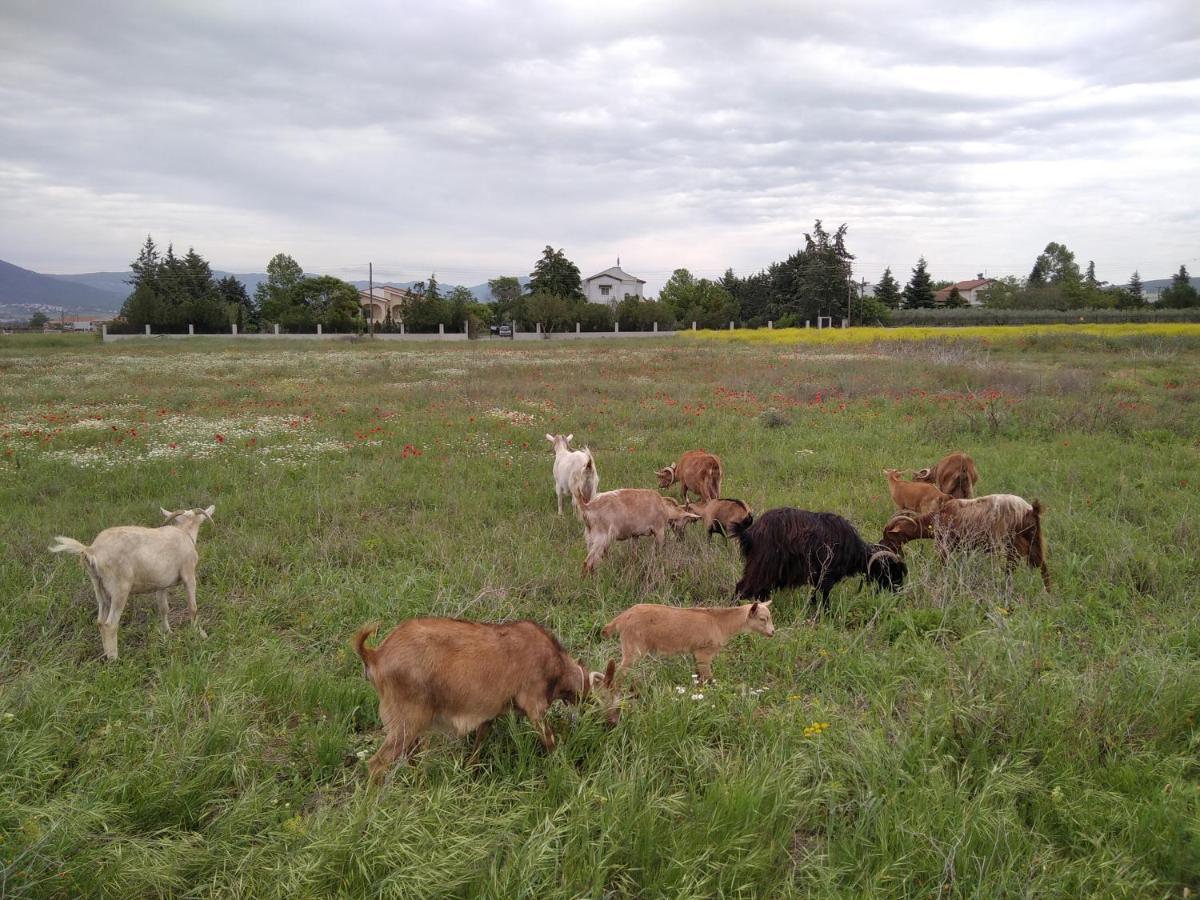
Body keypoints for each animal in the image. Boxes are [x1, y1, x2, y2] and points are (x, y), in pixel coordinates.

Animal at [50, 508, 217, 662]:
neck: (185, 533)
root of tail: (91, 550)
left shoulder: (161, 585)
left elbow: (164, 609)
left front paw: (167, 633)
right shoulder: (189, 574)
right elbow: (193, 608)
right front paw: (200, 634)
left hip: (99, 586)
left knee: (100, 622)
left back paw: (106, 654)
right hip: (120, 588)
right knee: (110, 624)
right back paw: (114, 659)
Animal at [350, 619, 604, 782]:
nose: (591, 709)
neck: (554, 662)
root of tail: (375, 655)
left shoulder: (490, 713)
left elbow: (480, 741)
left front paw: (470, 770)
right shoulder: (535, 705)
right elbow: (549, 740)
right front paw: (565, 770)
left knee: (409, 755)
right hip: (407, 720)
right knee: (377, 764)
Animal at [600, 602, 777, 686]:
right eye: (763, 619)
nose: (773, 632)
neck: (720, 623)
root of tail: (622, 617)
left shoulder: (695, 652)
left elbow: (698, 676)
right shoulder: (704, 652)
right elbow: (708, 677)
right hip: (633, 647)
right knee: (620, 671)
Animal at [729, 508, 907, 607]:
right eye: (892, 571)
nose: (898, 593)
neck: (855, 550)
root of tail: (749, 534)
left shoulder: (816, 577)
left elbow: (813, 595)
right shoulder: (826, 574)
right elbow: (825, 596)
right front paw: (827, 614)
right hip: (762, 566)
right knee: (741, 588)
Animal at [878, 494, 1046, 592]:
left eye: (889, 536)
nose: (881, 546)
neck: (937, 516)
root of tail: (1029, 509)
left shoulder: (944, 545)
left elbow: (942, 566)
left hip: (1008, 542)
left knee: (1010, 565)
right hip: (1035, 539)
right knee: (1042, 566)